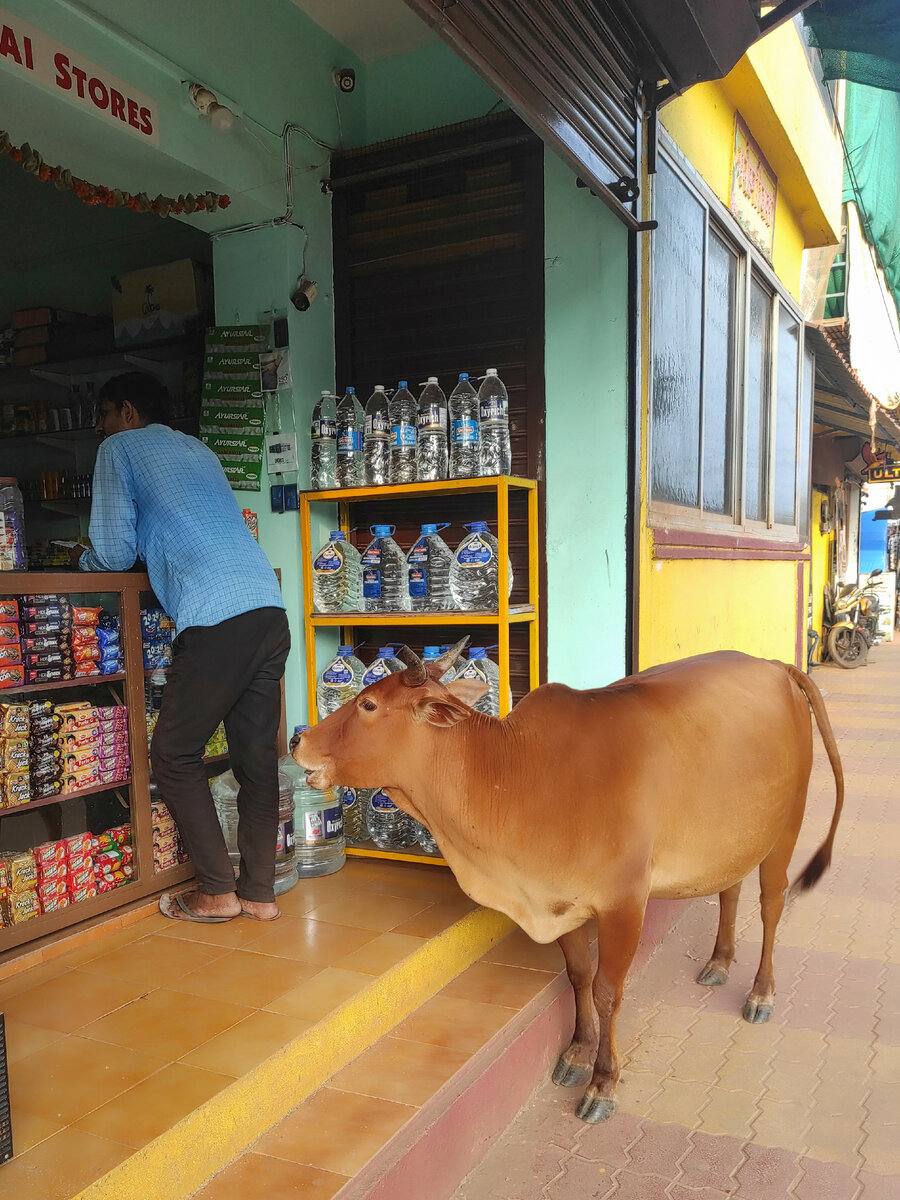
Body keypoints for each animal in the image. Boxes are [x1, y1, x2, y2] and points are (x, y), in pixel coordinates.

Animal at [296, 643, 844, 1118]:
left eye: (368, 703)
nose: (296, 739)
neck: (515, 775)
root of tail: (775, 664)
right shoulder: (560, 901)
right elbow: (578, 975)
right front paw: (578, 1051)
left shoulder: (624, 904)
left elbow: (607, 989)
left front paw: (603, 1081)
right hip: (734, 836)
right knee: (730, 888)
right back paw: (719, 961)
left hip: (787, 824)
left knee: (771, 903)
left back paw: (761, 992)